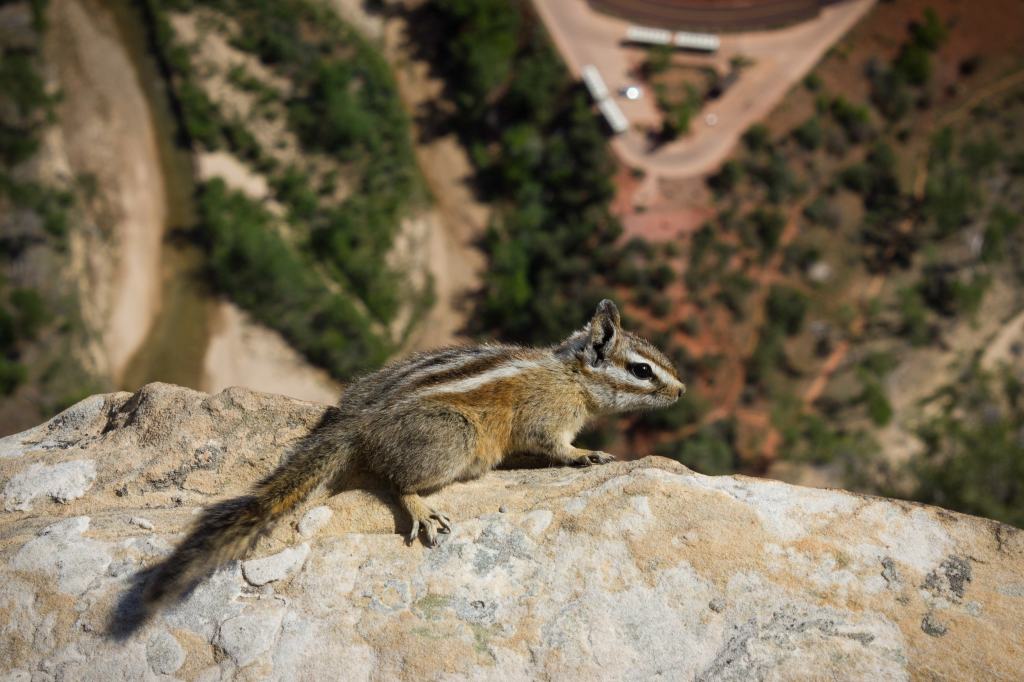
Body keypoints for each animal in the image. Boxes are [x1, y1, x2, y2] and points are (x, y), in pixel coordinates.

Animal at [140, 299, 684, 610]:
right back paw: (420, 507)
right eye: (641, 370)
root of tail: (357, 421)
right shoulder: (545, 417)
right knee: (397, 482)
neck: (571, 376)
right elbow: (554, 446)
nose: (681, 392)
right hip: (453, 438)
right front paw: (586, 455)